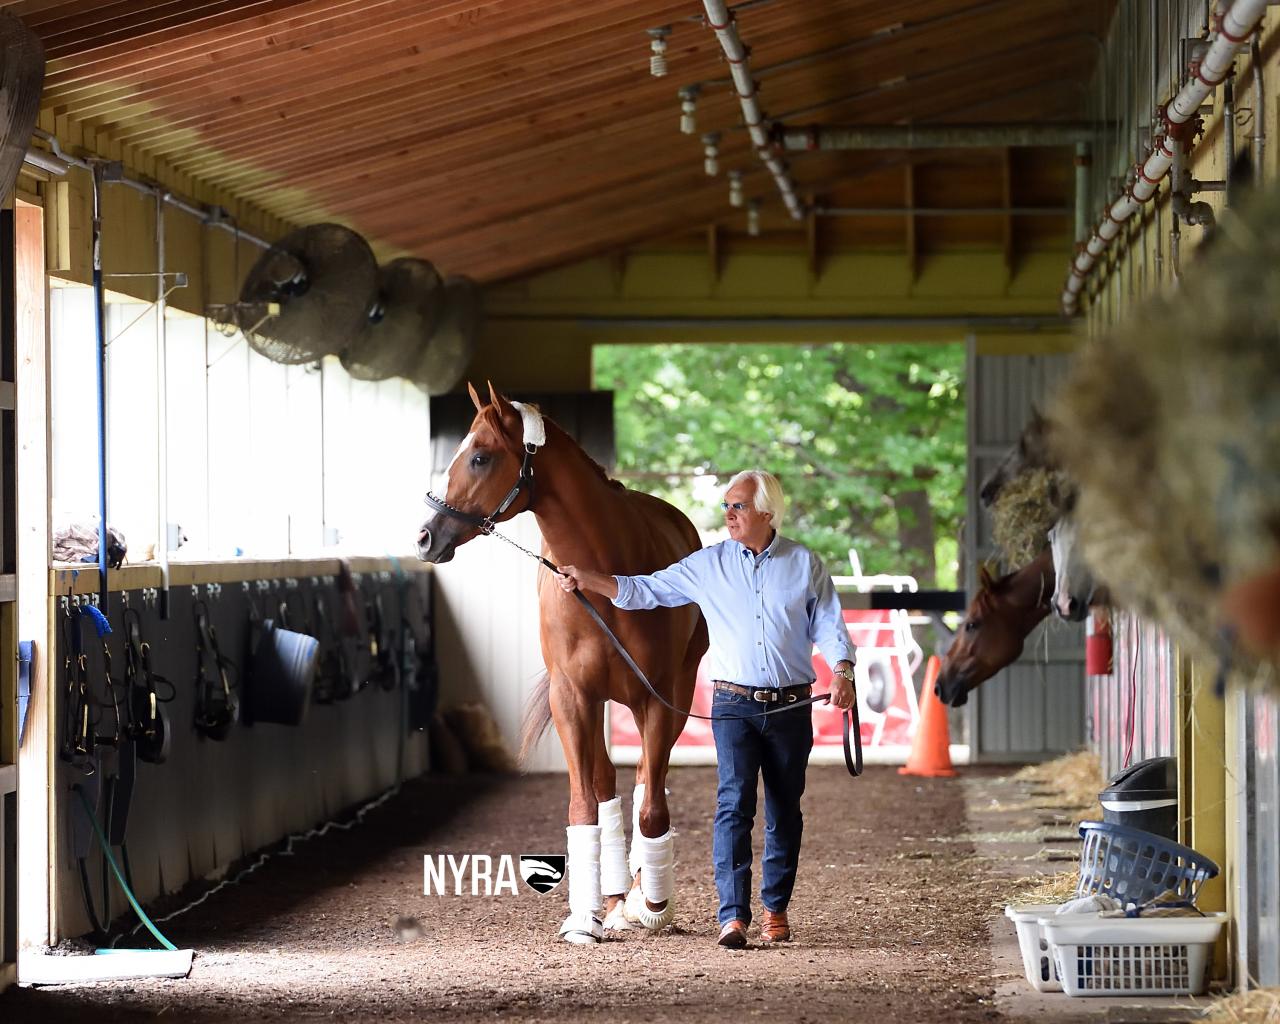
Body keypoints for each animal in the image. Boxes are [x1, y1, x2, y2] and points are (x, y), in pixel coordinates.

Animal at [414, 384, 706, 942]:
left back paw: (637, 894)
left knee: (644, 782)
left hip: (666, 697)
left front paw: (653, 906)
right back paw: (611, 899)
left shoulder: (658, 699)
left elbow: (652, 808)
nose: (424, 537)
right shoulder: (572, 697)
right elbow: (583, 805)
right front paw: (584, 918)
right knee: (607, 783)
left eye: (480, 457)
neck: (606, 576)